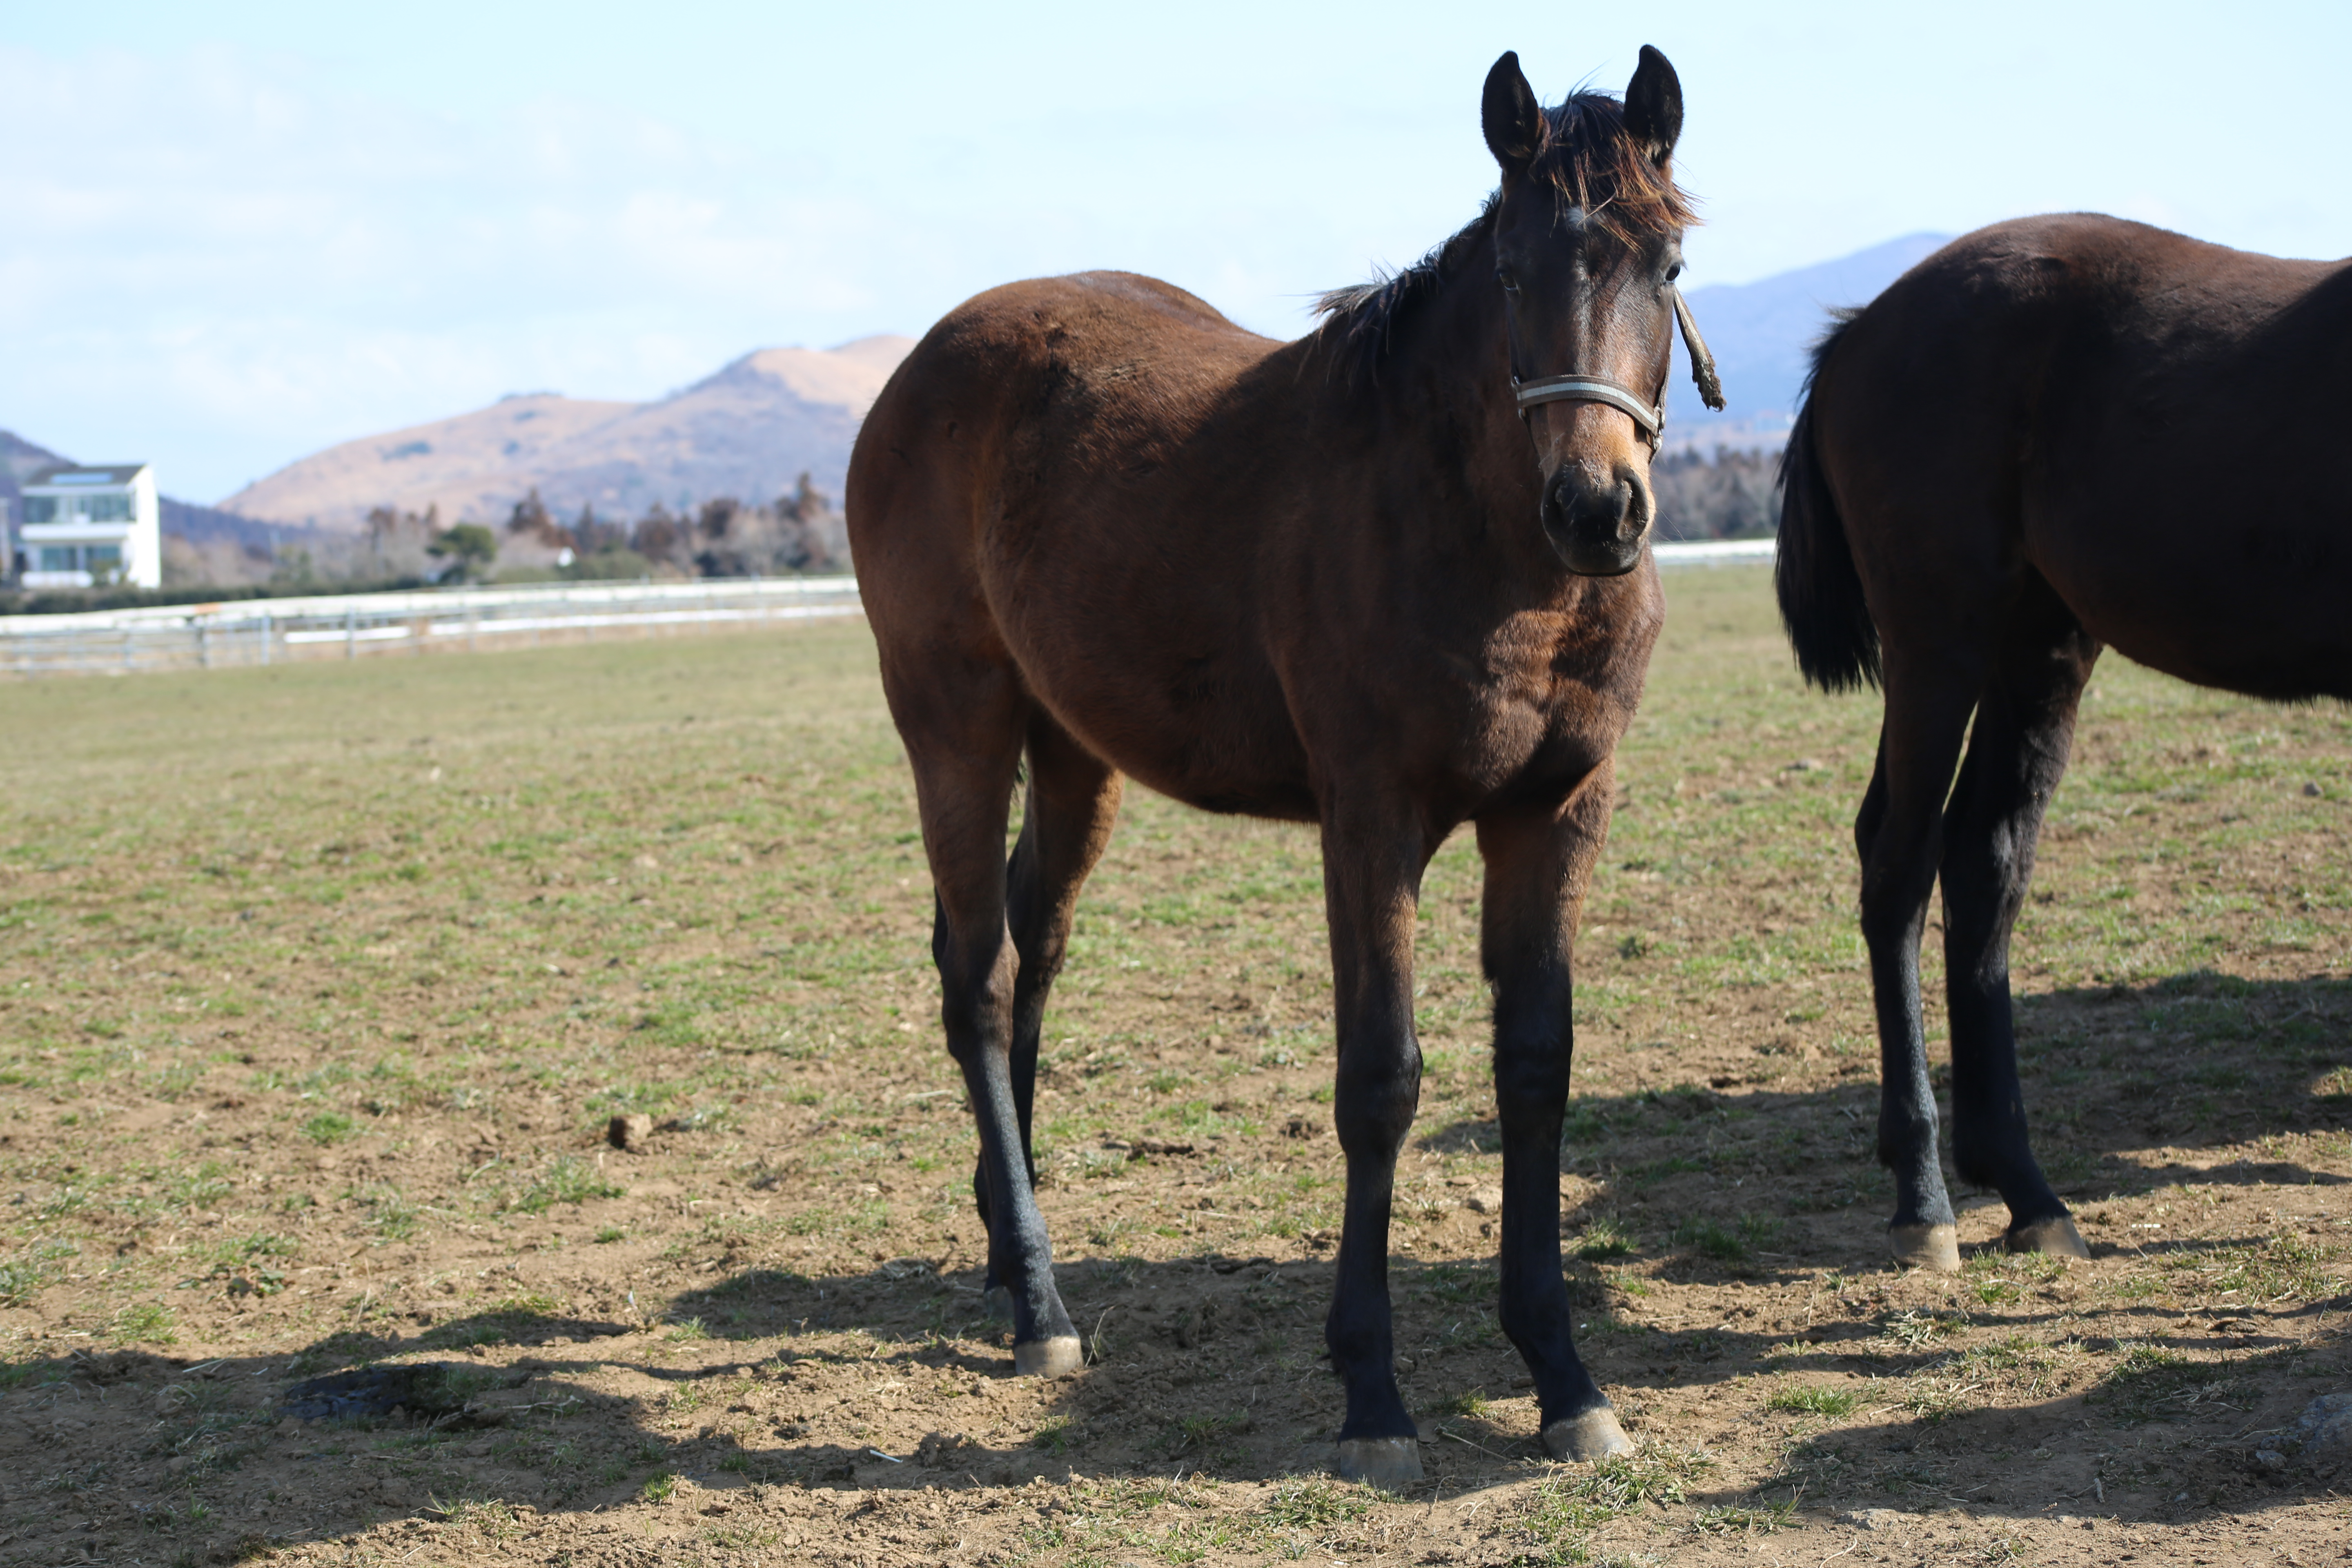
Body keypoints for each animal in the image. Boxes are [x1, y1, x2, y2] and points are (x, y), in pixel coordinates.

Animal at [851, 43, 1731, 1476]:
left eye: (1667, 264)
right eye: (1511, 271)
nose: (1597, 509)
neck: (1484, 545)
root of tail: (925, 366)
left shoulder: (1557, 811)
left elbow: (1537, 1069)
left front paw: (1563, 1373)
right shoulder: (1370, 819)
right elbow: (1382, 1079)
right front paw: (1371, 1393)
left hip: (1075, 754)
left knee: (1034, 952)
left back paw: (1005, 1244)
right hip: (954, 725)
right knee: (978, 981)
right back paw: (1039, 1302)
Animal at [1778, 217, 2352, 1278]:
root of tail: (1859, 330)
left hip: (2038, 647)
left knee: (1982, 862)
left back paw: (2022, 1187)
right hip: (1938, 641)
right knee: (1898, 870)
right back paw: (1923, 1198)